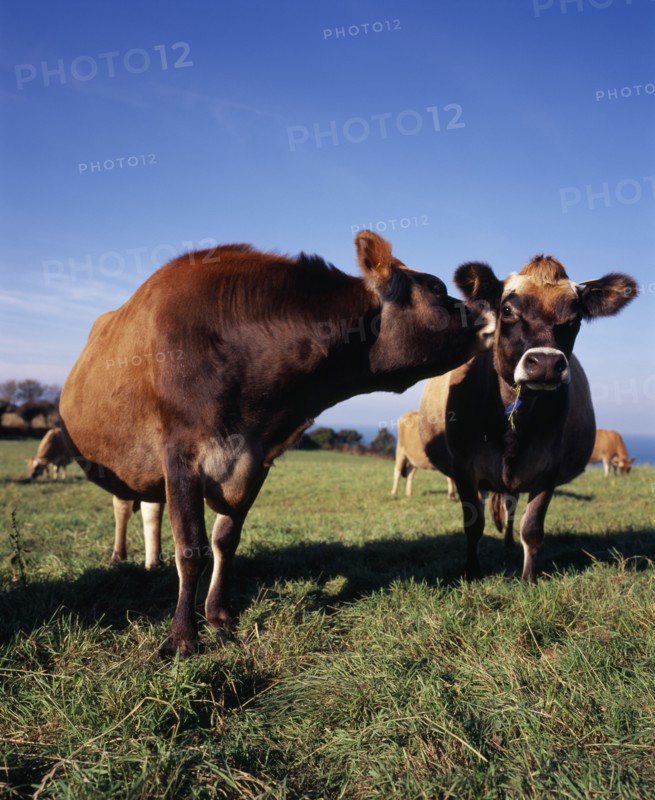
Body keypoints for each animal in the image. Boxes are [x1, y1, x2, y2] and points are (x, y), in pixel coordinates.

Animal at [59, 231, 496, 656]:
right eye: (437, 288)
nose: (490, 313)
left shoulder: (254, 463)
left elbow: (225, 540)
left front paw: (218, 614)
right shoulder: (181, 457)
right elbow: (192, 548)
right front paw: (182, 637)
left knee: (151, 509)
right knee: (124, 507)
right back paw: (120, 557)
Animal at [418, 255, 637, 582]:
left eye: (575, 319)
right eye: (508, 310)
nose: (545, 363)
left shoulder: (549, 468)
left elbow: (532, 527)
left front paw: (529, 578)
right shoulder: (463, 466)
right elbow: (473, 523)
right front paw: (471, 571)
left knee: (510, 506)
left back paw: (509, 542)